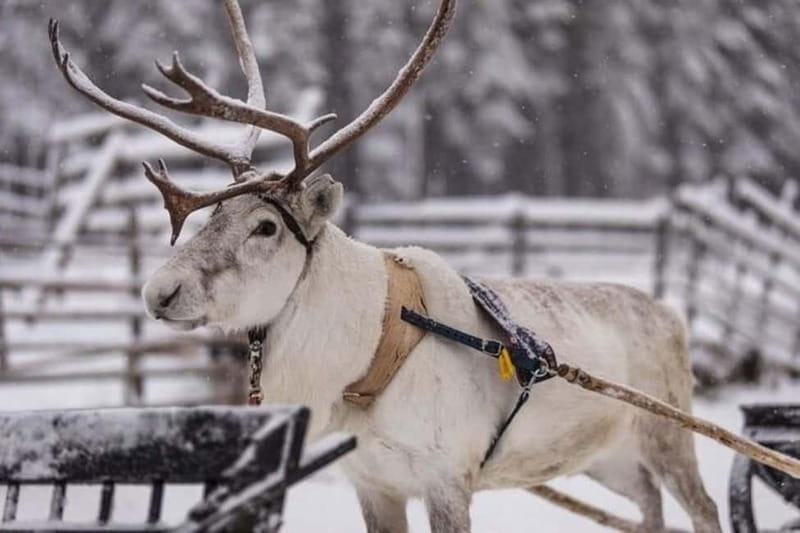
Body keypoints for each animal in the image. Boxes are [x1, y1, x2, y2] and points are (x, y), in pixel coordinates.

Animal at [49, 1, 722, 532]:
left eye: (266, 226)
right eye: (209, 217)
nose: (160, 290)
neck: (365, 358)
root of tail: (672, 315)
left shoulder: (449, 478)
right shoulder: (372, 481)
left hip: (667, 434)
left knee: (703, 505)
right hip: (608, 456)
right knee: (648, 508)